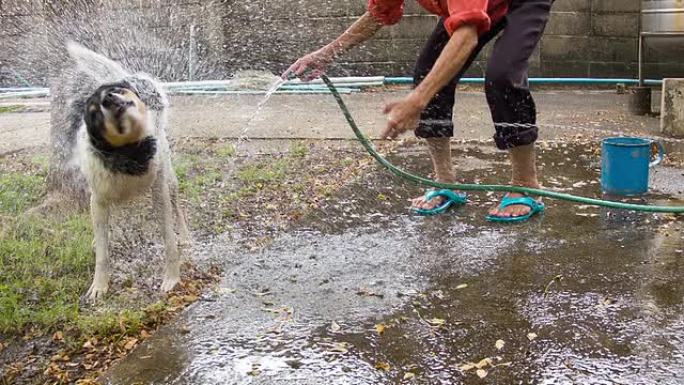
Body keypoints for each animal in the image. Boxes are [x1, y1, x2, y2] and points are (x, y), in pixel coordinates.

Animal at [67, 42, 190, 300]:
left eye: (114, 91)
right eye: (94, 110)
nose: (109, 98)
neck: (129, 151)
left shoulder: (159, 191)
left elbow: (169, 240)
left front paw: (171, 278)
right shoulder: (98, 200)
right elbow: (102, 253)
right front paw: (99, 285)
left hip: (170, 180)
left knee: (177, 207)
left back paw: (185, 236)